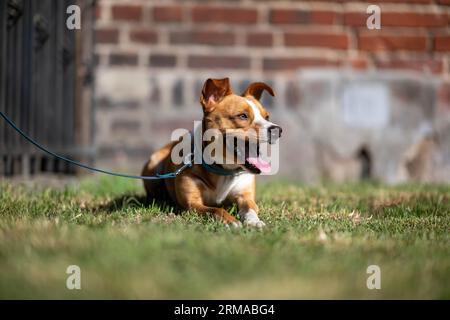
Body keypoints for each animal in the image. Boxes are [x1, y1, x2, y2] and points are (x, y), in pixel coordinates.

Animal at [141, 77, 282, 228]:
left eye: (267, 117)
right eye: (242, 116)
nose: (278, 130)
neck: (223, 170)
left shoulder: (245, 196)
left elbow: (250, 209)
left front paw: (254, 221)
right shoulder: (192, 204)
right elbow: (216, 209)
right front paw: (231, 220)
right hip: (153, 162)